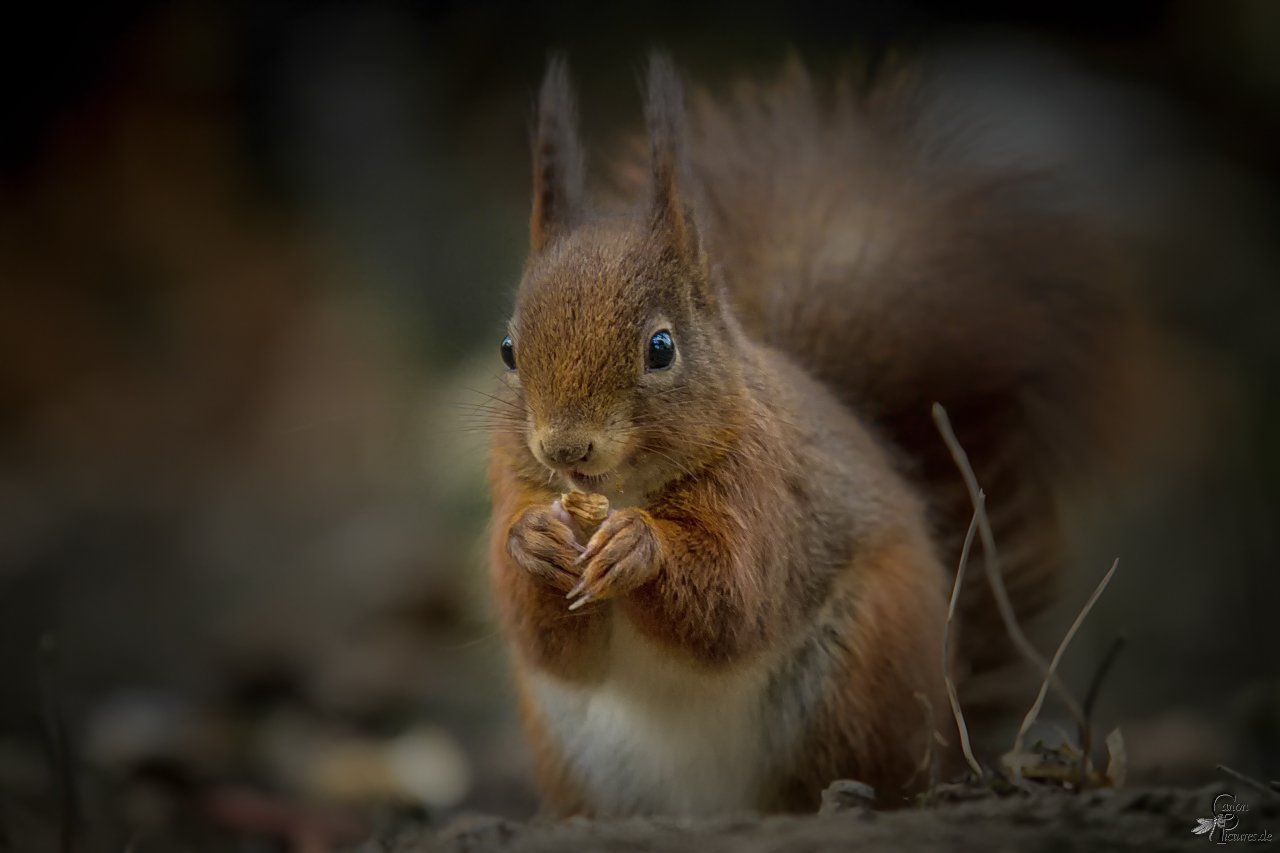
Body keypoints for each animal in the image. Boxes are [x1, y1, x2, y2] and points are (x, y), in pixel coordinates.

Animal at [483, 54, 1126, 819]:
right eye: (508, 349)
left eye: (661, 348)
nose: (565, 449)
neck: (627, 490)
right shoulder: (516, 486)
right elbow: (548, 642)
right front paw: (533, 543)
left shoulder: (766, 490)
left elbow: (734, 598)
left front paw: (639, 546)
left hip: (859, 674)